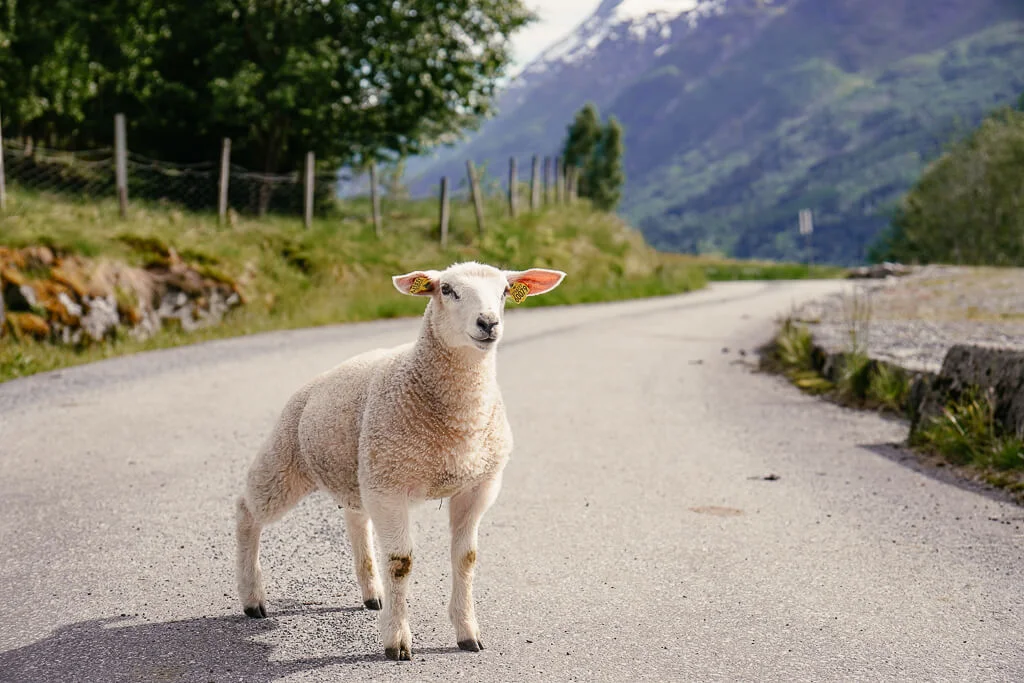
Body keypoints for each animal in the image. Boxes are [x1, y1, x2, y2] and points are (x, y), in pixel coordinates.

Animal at [235, 261, 566, 660]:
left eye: (504, 291)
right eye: (447, 290)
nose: (488, 323)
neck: (459, 423)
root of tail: (318, 380)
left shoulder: (478, 486)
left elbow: (466, 558)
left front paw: (467, 632)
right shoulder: (390, 487)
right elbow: (400, 563)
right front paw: (396, 640)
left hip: (359, 471)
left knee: (355, 520)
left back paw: (372, 594)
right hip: (289, 459)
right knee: (247, 511)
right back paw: (252, 598)